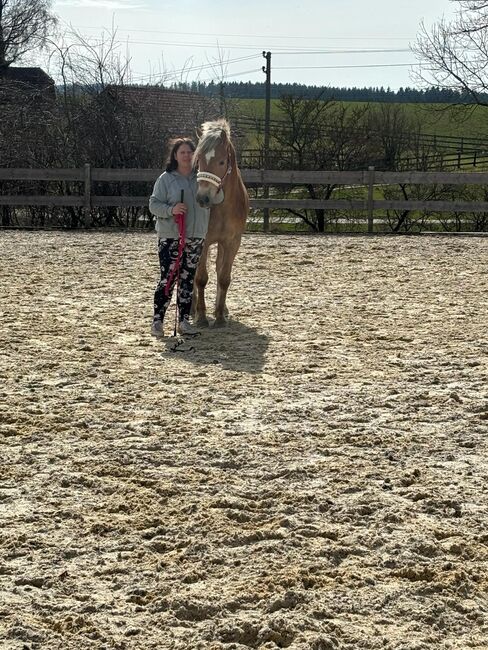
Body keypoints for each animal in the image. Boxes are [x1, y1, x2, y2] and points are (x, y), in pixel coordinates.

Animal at [193, 118, 250, 326]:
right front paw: (201, 316)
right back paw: (192, 308)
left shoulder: (232, 242)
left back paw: (222, 309)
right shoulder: (203, 242)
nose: (202, 198)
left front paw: (219, 316)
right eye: (199, 160)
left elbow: (224, 277)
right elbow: (201, 278)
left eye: (222, 161)